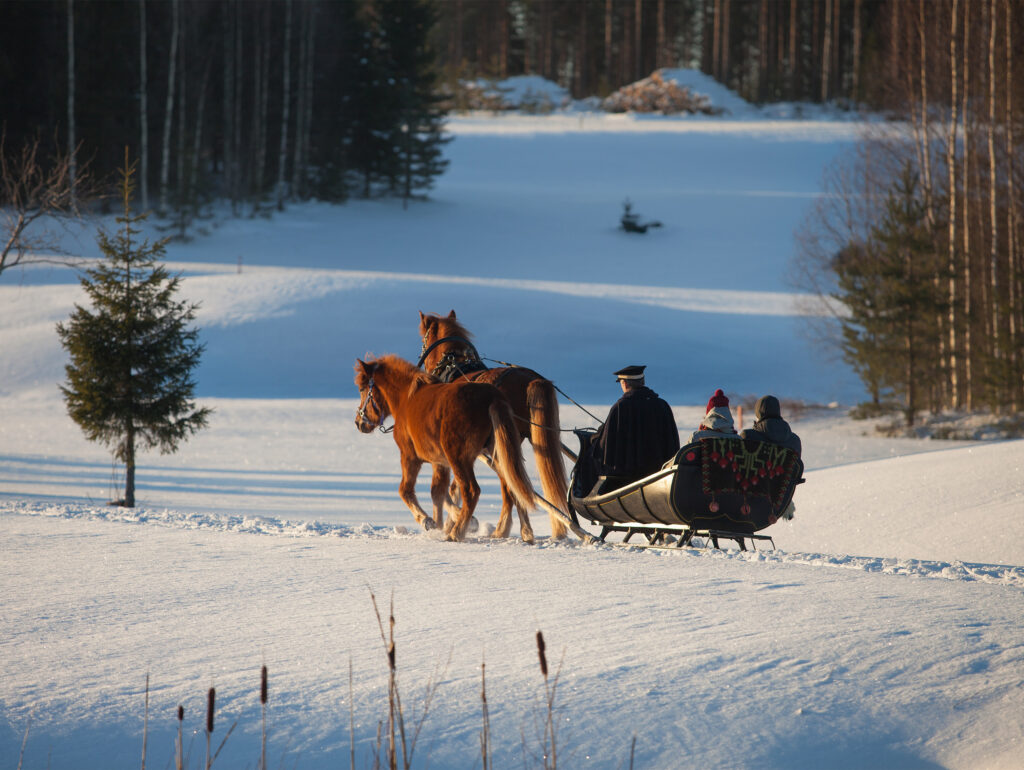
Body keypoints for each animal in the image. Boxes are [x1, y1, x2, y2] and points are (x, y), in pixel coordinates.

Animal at [354, 354, 538, 542]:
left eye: (361, 389)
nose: (359, 422)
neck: (407, 398)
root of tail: (491, 397)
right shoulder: (440, 462)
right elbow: (438, 491)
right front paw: (442, 523)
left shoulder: (409, 457)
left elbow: (405, 490)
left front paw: (428, 521)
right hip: (497, 454)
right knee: (514, 485)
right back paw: (525, 532)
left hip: (458, 458)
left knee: (472, 491)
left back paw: (456, 533)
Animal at [417, 310, 571, 539]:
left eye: (423, 340)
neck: (455, 368)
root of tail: (530, 379)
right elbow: (454, 487)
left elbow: (446, 489)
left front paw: (450, 524)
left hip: (501, 445)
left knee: (510, 487)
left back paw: (507, 530)